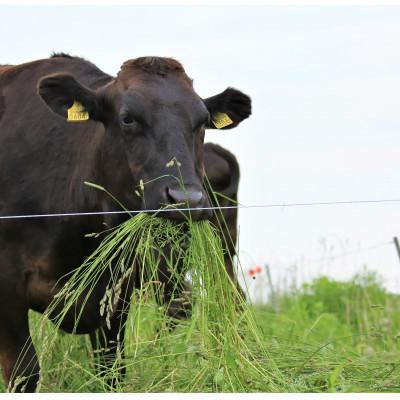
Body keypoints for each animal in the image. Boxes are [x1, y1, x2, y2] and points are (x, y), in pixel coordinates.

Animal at [0, 54, 250, 394]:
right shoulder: (7, 284)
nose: (186, 198)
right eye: (127, 118)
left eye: (202, 121)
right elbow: (24, 373)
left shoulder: (117, 286)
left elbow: (112, 370)